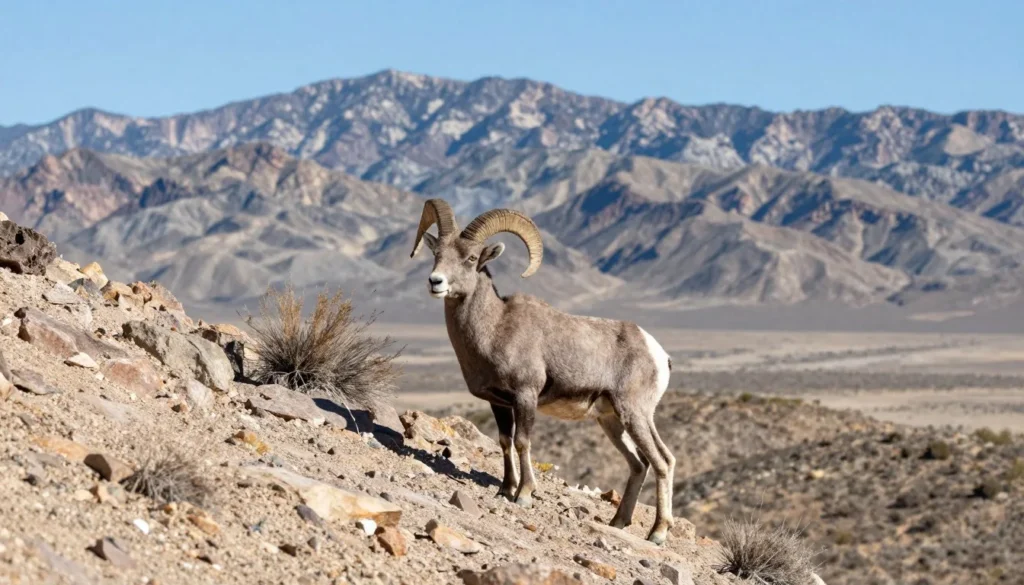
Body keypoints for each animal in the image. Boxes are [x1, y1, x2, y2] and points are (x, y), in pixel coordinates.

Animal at [409, 198, 677, 544]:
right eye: (437, 254)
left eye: (470, 259)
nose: (436, 282)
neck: (495, 328)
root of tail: (659, 354)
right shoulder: (498, 402)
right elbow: (505, 441)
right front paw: (504, 490)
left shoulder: (526, 396)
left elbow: (523, 442)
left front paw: (523, 495)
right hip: (612, 422)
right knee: (638, 465)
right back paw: (618, 522)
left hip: (635, 413)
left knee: (662, 461)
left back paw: (657, 533)